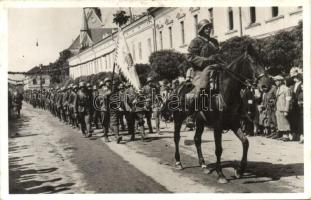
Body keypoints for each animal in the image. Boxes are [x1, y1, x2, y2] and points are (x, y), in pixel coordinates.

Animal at [167, 47, 272, 184]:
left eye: (263, 62)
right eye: (253, 62)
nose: (266, 86)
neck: (225, 92)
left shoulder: (234, 124)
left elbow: (245, 142)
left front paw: (240, 171)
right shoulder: (217, 127)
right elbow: (218, 149)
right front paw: (221, 174)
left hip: (200, 122)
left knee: (197, 139)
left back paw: (203, 165)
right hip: (178, 118)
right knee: (177, 137)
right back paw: (178, 162)